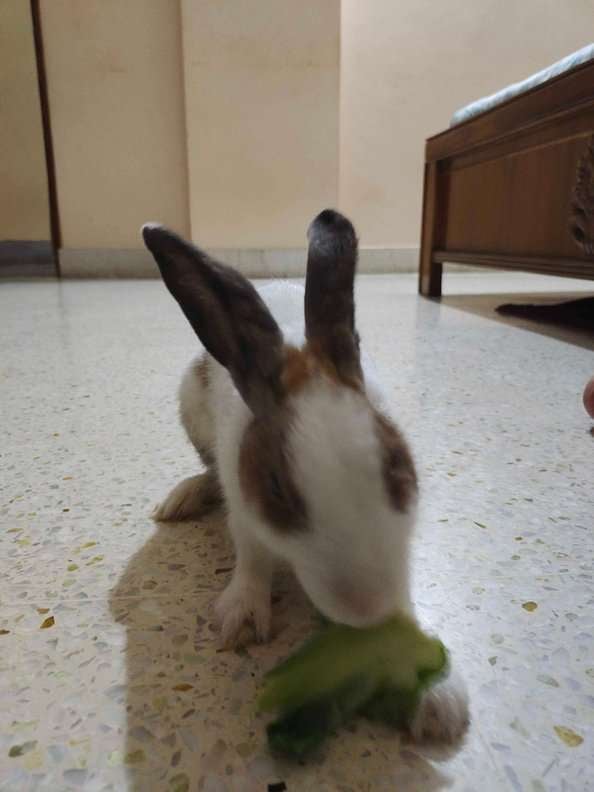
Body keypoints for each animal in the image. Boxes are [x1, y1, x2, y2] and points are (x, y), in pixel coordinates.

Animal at [142, 209, 469, 743]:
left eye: (397, 464)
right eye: (276, 487)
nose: (365, 611)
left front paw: (440, 701)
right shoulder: (244, 506)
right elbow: (252, 557)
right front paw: (241, 619)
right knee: (208, 474)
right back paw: (181, 499)